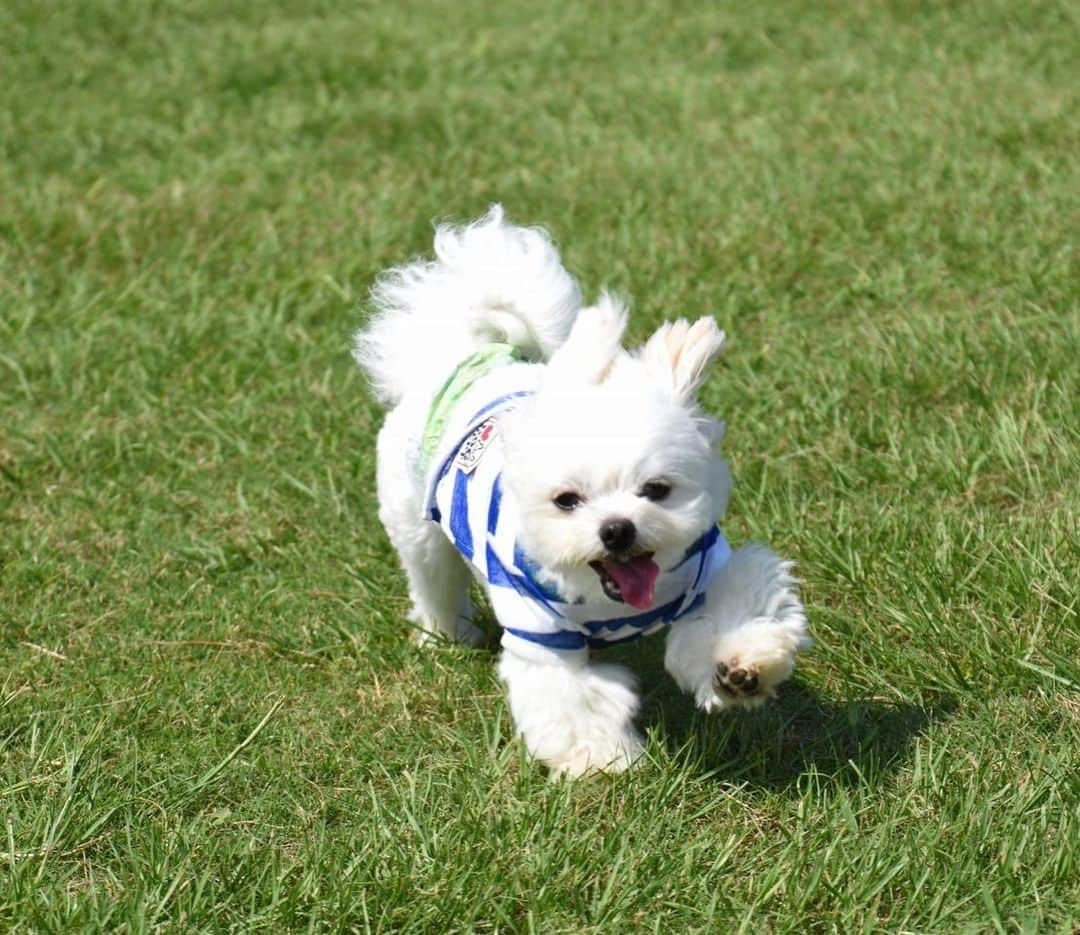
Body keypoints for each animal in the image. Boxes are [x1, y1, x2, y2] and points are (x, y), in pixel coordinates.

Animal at [354, 207, 812, 777]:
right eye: (567, 500)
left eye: (656, 490)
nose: (617, 529)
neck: (610, 600)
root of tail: (472, 352)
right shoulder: (539, 629)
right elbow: (572, 698)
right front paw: (600, 759)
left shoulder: (708, 568)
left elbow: (725, 620)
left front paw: (736, 666)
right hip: (416, 525)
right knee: (433, 579)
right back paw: (447, 636)